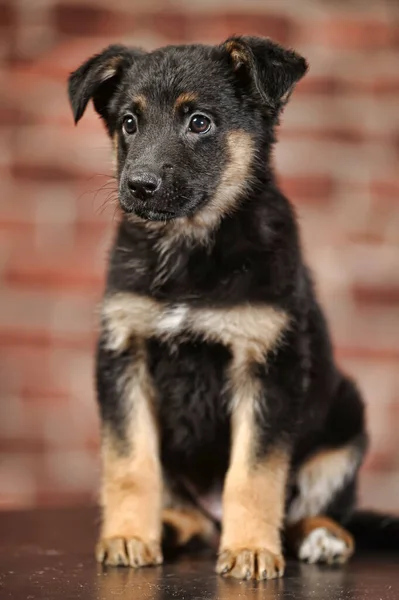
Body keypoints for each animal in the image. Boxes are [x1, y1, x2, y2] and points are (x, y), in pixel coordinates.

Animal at [67, 35, 370, 580]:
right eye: (129, 123)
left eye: (200, 122)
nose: (138, 185)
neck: (190, 249)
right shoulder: (123, 356)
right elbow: (129, 465)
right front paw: (128, 535)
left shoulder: (268, 366)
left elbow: (253, 473)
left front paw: (250, 548)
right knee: (189, 514)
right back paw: (166, 528)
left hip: (346, 426)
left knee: (320, 509)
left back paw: (322, 538)